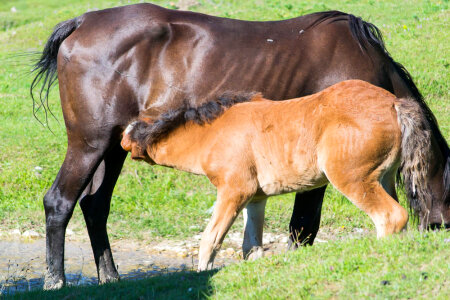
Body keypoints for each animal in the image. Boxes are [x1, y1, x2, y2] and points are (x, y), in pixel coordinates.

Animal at [120, 80, 432, 272]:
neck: (212, 132)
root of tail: (393, 103)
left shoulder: (235, 191)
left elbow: (210, 240)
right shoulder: (255, 198)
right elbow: (251, 246)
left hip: (351, 179)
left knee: (390, 217)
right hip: (383, 179)